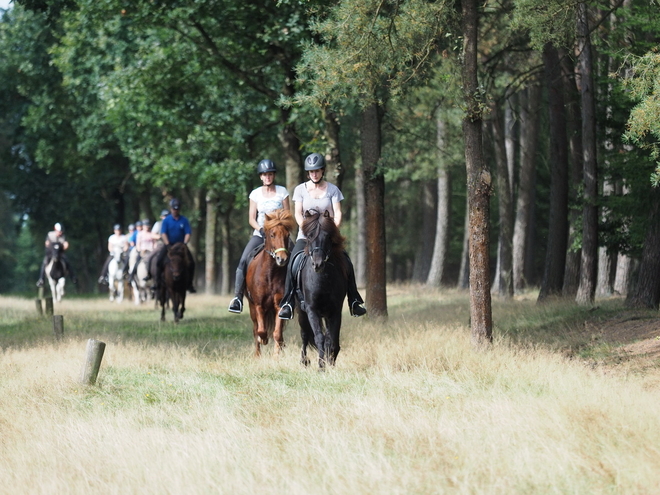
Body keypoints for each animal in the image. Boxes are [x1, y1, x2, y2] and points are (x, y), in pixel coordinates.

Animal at [246, 208, 296, 356]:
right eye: (272, 235)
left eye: (287, 235)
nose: (282, 259)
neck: (270, 274)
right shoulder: (258, 305)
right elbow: (261, 331)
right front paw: (263, 340)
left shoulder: (280, 305)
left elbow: (277, 333)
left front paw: (276, 356)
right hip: (252, 307)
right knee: (255, 329)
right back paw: (257, 354)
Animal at [298, 208, 348, 368]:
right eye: (309, 236)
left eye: (327, 236)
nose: (318, 264)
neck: (323, 280)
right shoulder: (311, 310)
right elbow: (319, 338)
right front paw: (321, 365)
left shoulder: (335, 312)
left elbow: (331, 340)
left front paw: (330, 363)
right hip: (301, 312)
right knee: (304, 335)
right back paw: (304, 361)